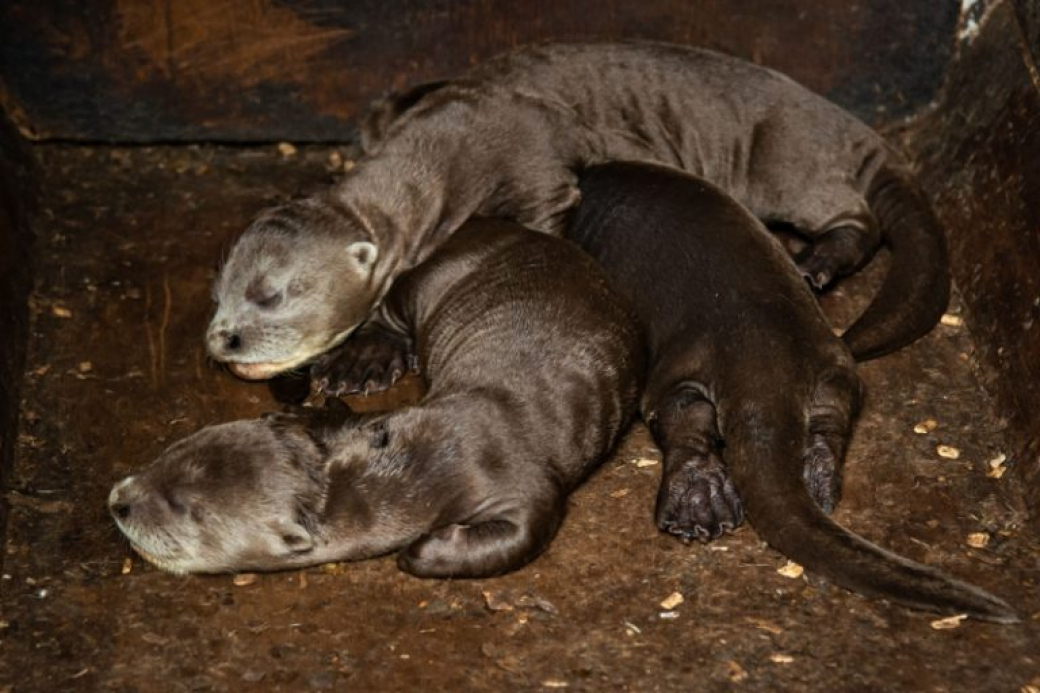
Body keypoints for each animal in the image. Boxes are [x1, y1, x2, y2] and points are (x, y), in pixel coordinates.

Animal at [107, 218, 640, 574]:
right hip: (427, 276)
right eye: (171, 451)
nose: (118, 501)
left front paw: (424, 551)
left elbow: (524, 533)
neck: (436, 457)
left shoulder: (528, 489)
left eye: (184, 507)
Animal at [209, 41, 952, 380]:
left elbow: (541, 218)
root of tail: (861, 132)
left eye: (271, 296)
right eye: (221, 293)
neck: (448, 138)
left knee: (859, 219)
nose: (223, 340)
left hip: (783, 164)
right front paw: (365, 352)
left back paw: (817, 264)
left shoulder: (534, 171)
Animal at [565, 160, 1010, 620]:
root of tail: (764, 368)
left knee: (685, 421)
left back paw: (696, 508)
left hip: (682, 367)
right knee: (830, 419)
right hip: (832, 366)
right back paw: (815, 480)